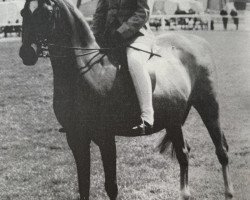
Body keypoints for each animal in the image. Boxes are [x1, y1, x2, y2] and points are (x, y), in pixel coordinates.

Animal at [18, 0, 233, 199]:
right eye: (23, 12)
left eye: (46, 13)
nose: (26, 53)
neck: (89, 71)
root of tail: (198, 41)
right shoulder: (75, 137)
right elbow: (83, 185)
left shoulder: (105, 137)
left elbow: (111, 186)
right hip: (173, 120)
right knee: (184, 153)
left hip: (208, 106)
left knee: (218, 151)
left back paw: (227, 192)